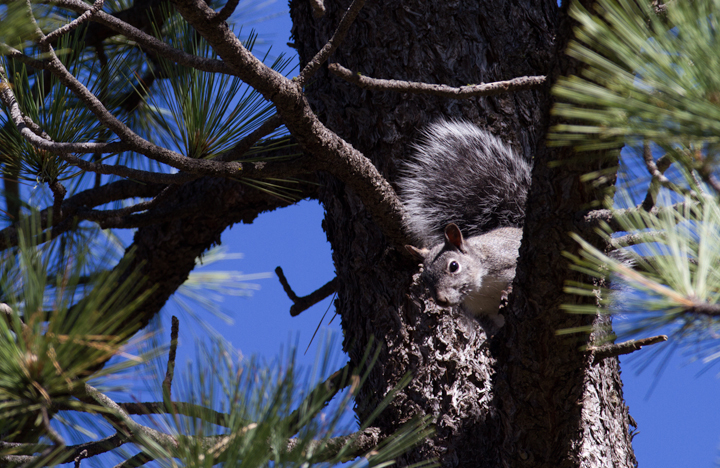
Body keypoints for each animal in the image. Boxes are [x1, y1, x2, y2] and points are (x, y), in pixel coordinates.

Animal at [398, 119, 531, 327]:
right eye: (424, 279)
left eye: (454, 266)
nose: (441, 300)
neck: (480, 288)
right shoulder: (481, 314)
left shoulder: (506, 258)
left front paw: (508, 291)